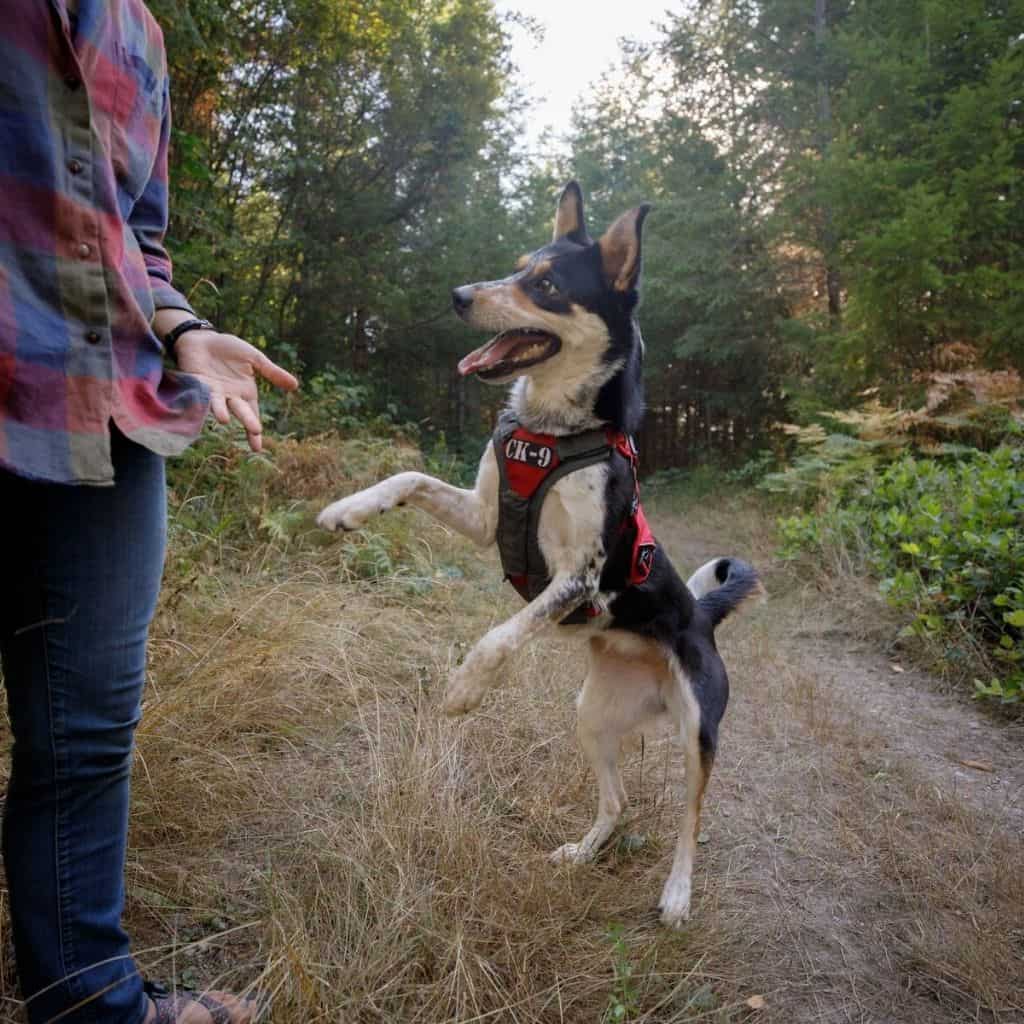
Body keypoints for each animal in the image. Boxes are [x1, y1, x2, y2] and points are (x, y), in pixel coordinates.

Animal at [319, 184, 761, 929]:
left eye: (547, 285)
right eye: (517, 265)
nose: (459, 295)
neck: (553, 429)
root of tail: (701, 615)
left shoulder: (580, 576)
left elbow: (499, 637)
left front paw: (464, 690)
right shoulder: (483, 517)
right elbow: (408, 478)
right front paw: (348, 509)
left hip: (698, 729)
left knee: (691, 818)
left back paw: (677, 893)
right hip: (593, 717)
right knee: (618, 801)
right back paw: (584, 852)